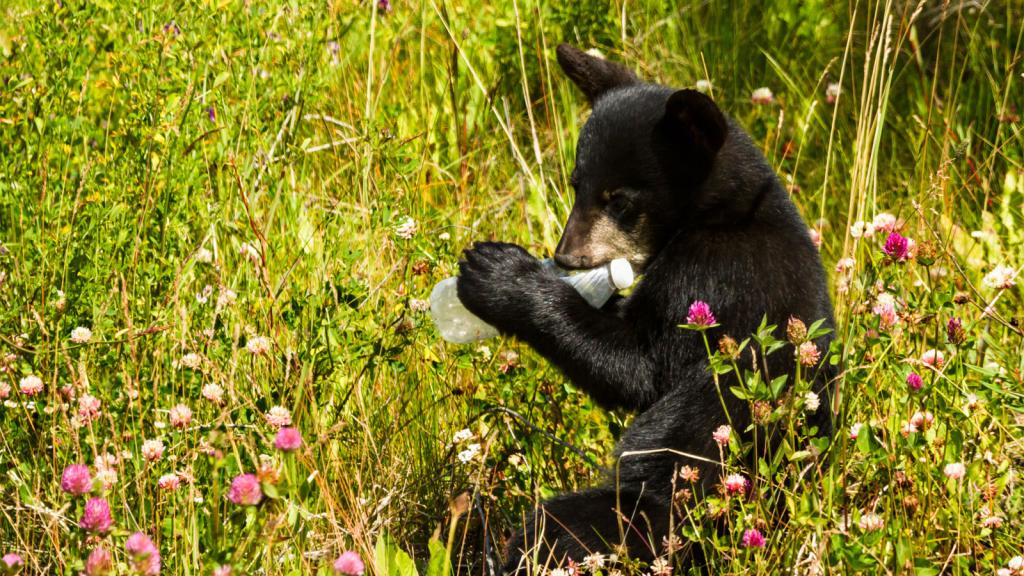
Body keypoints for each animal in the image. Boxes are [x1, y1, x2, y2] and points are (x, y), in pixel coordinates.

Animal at [456, 44, 836, 573]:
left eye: (619, 200)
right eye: (575, 184)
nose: (566, 256)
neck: (726, 213)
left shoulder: (711, 278)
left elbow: (638, 368)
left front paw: (500, 275)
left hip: (658, 515)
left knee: (563, 527)